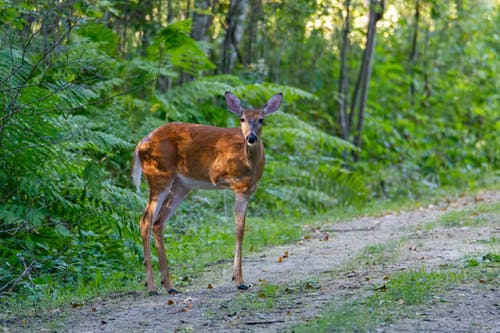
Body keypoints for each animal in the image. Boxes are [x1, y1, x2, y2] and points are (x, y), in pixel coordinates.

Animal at [132, 91, 282, 294]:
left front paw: (238, 278)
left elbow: (240, 230)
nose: (251, 138)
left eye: (261, 120)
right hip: (159, 175)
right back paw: (152, 286)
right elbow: (239, 229)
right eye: (242, 119)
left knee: (158, 222)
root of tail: (140, 145)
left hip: (180, 186)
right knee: (145, 220)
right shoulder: (229, 182)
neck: (249, 162)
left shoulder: (248, 191)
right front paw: (239, 280)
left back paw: (169, 286)